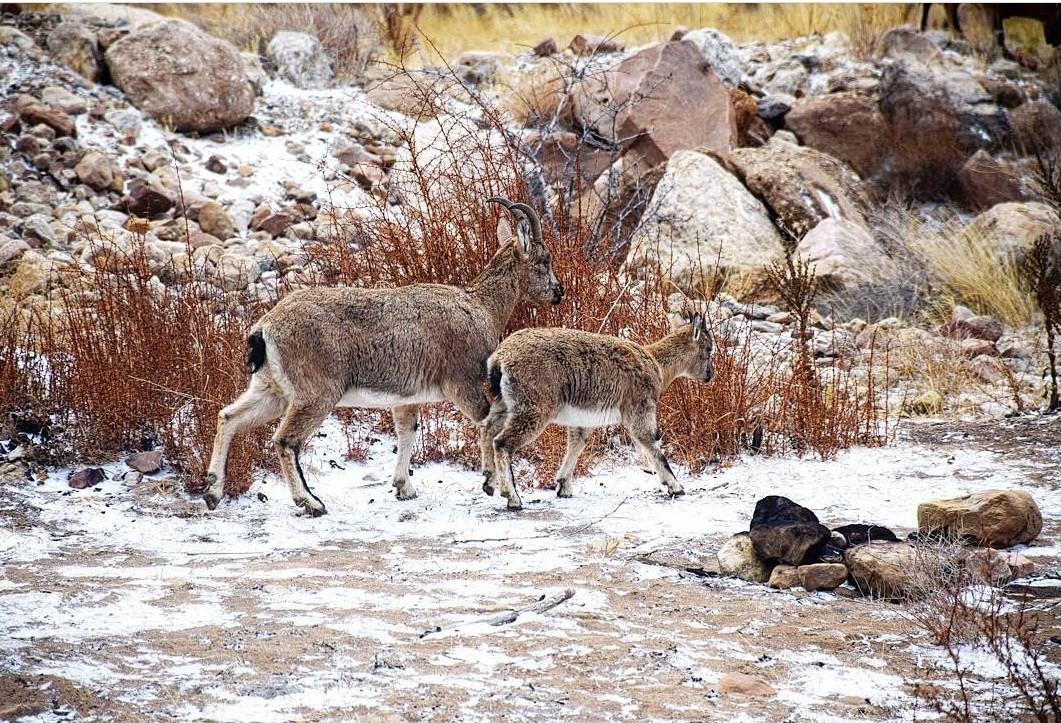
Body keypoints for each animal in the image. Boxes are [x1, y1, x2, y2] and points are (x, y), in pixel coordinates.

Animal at [202, 198, 564, 515]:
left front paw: (404, 487)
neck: (481, 307)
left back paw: (212, 492)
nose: (559, 292)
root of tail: (265, 327)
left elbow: (407, 431)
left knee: (229, 417)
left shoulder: (406, 398)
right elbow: (487, 423)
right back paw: (311, 503)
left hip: (271, 389)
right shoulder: (464, 383)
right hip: (315, 394)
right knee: (285, 441)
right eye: (544, 260)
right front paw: (494, 485)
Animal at [481, 314, 714, 509]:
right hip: (534, 406)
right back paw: (512, 497)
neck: (657, 364)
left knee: (487, 429)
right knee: (502, 442)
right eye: (709, 349)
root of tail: (500, 359)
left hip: (504, 402)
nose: (710, 375)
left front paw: (564, 486)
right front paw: (675, 486)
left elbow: (577, 443)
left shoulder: (582, 419)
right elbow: (650, 441)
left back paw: (489, 481)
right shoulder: (640, 406)